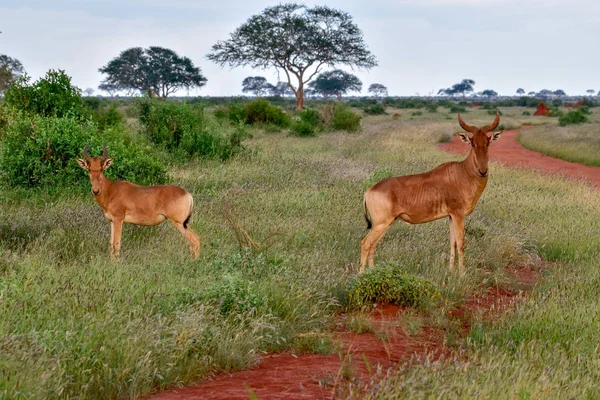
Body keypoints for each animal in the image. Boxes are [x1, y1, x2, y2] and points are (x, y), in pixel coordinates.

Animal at [358, 112, 504, 276]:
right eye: (472, 143)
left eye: (487, 142)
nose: (483, 171)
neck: (462, 172)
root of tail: (369, 191)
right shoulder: (458, 214)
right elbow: (461, 242)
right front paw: (462, 274)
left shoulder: (451, 216)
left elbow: (452, 242)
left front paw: (450, 271)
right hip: (381, 223)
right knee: (365, 243)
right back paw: (361, 275)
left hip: (385, 224)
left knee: (373, 246)